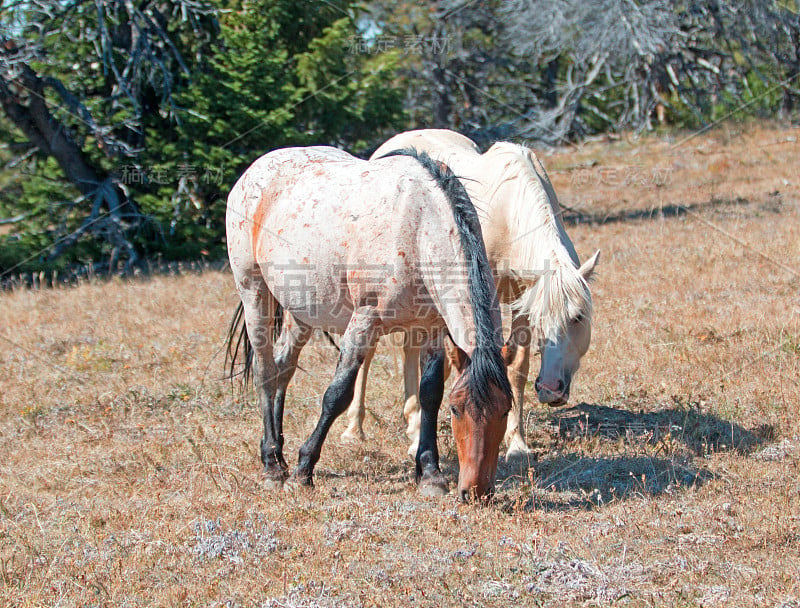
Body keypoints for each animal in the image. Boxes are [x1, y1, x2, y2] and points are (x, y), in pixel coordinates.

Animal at [225, 146, 512, 498]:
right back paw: (271, 467)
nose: (476, 491)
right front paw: (304, 470)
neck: (417, 225)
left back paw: (278, 455)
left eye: (505, 409)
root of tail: (255, 169)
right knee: (265, 371)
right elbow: (337, 395)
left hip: (300, 310)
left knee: (283, 366)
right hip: (254, 291)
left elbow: (430, 393)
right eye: (457, 409)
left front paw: (430, 473)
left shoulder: (430, 328)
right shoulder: (363, 322)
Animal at [340, 131, 596, 458]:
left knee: (411, 348)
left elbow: (517, 366)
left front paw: (517, 443)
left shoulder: (522, 298)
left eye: (578, 318)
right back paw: (354, 430)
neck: (509, 212)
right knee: (368, 354)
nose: (551, 389)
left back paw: (412, 422)